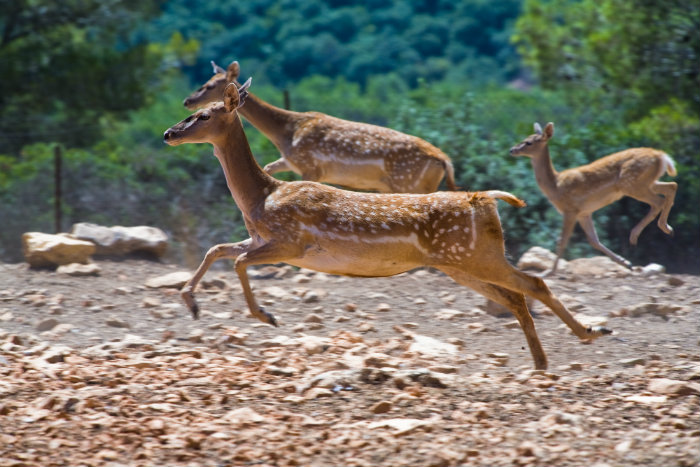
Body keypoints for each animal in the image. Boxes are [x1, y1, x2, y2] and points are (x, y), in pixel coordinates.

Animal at [164, 81, 612, 372]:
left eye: (203, 113)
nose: (169, 132)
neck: (260, 197)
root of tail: (486, 200)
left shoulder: (292, 243)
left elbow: (237, 261)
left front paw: (265, 315)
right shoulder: (260, 237)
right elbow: (218, 250)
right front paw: (191, 302)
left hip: (474, 256)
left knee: (533, 284)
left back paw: (591, 333)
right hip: (460, 263)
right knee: (516, 297)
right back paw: (541, 360)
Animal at [185, 60, 460, 194]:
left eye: (211, 84)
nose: (187, 100)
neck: (286, 133)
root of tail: (445, 161)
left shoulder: (311, 167)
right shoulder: (293, 161)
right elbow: (269, 167)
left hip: (408, 183)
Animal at [508, 122, 680, 276]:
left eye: (529, 142)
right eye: (525, 137)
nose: (512, 150)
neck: (555, 185)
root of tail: (662, 156)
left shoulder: (570, 209)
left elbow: (562, 240)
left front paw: (549, 272)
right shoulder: (584, 212)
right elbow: (593, 240)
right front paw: (627, 263)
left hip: (631, 184)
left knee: (658, 201)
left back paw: (636, 235)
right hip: (647, 182)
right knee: (672, 186)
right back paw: (667, 229)